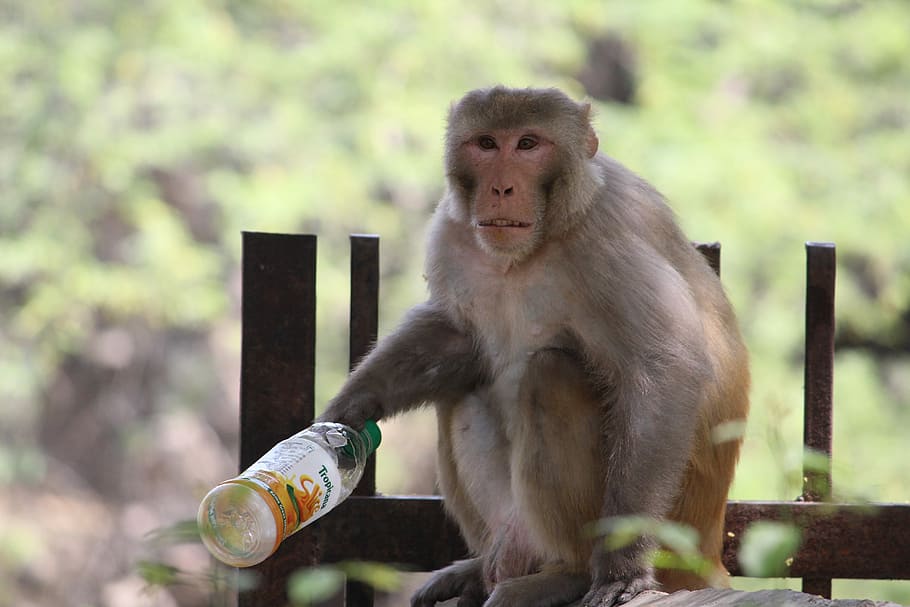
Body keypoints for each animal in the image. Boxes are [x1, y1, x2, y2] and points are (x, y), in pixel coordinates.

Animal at [318, 86, 750, 607]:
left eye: (527, 144)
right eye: (486, 143)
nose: (501, 188)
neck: (535, 245)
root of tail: (708, 554)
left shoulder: (609, 243)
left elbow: (664, 370)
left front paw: (621, 567)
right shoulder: (451, 232)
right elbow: (455, 334)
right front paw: (353, 408)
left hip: (674, 539)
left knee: (550, 375)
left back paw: (571, 574)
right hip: (517, 529)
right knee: (461, 391)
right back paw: (480, 568)